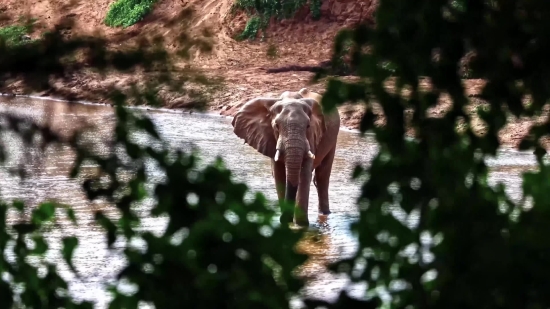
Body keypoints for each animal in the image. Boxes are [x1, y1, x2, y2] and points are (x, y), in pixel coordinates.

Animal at [232, 88, 340, 225]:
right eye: (276, 126)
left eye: (308, 126)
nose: (284, 219)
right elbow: (279, 176)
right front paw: (286, 223)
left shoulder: (312, 135)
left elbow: (304, 174)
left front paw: (300, 225)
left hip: (333, 139)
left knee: (322, 176)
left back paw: (325, 213)